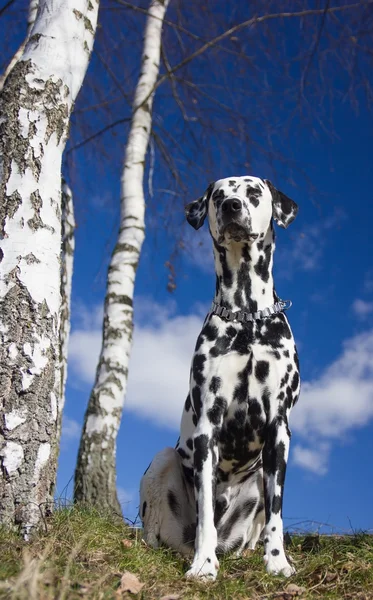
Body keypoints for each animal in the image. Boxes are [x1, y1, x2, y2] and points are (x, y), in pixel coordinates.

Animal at [140, 176, 300, 580]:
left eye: (254, 192)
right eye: (218, 195)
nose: (231, 206)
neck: (246, 319)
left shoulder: (279, 429)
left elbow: (277, 514)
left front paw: (278, 561)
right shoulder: (207, 427)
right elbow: (206, 515)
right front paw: (203, 565)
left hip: (257, 482)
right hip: (163, 460)